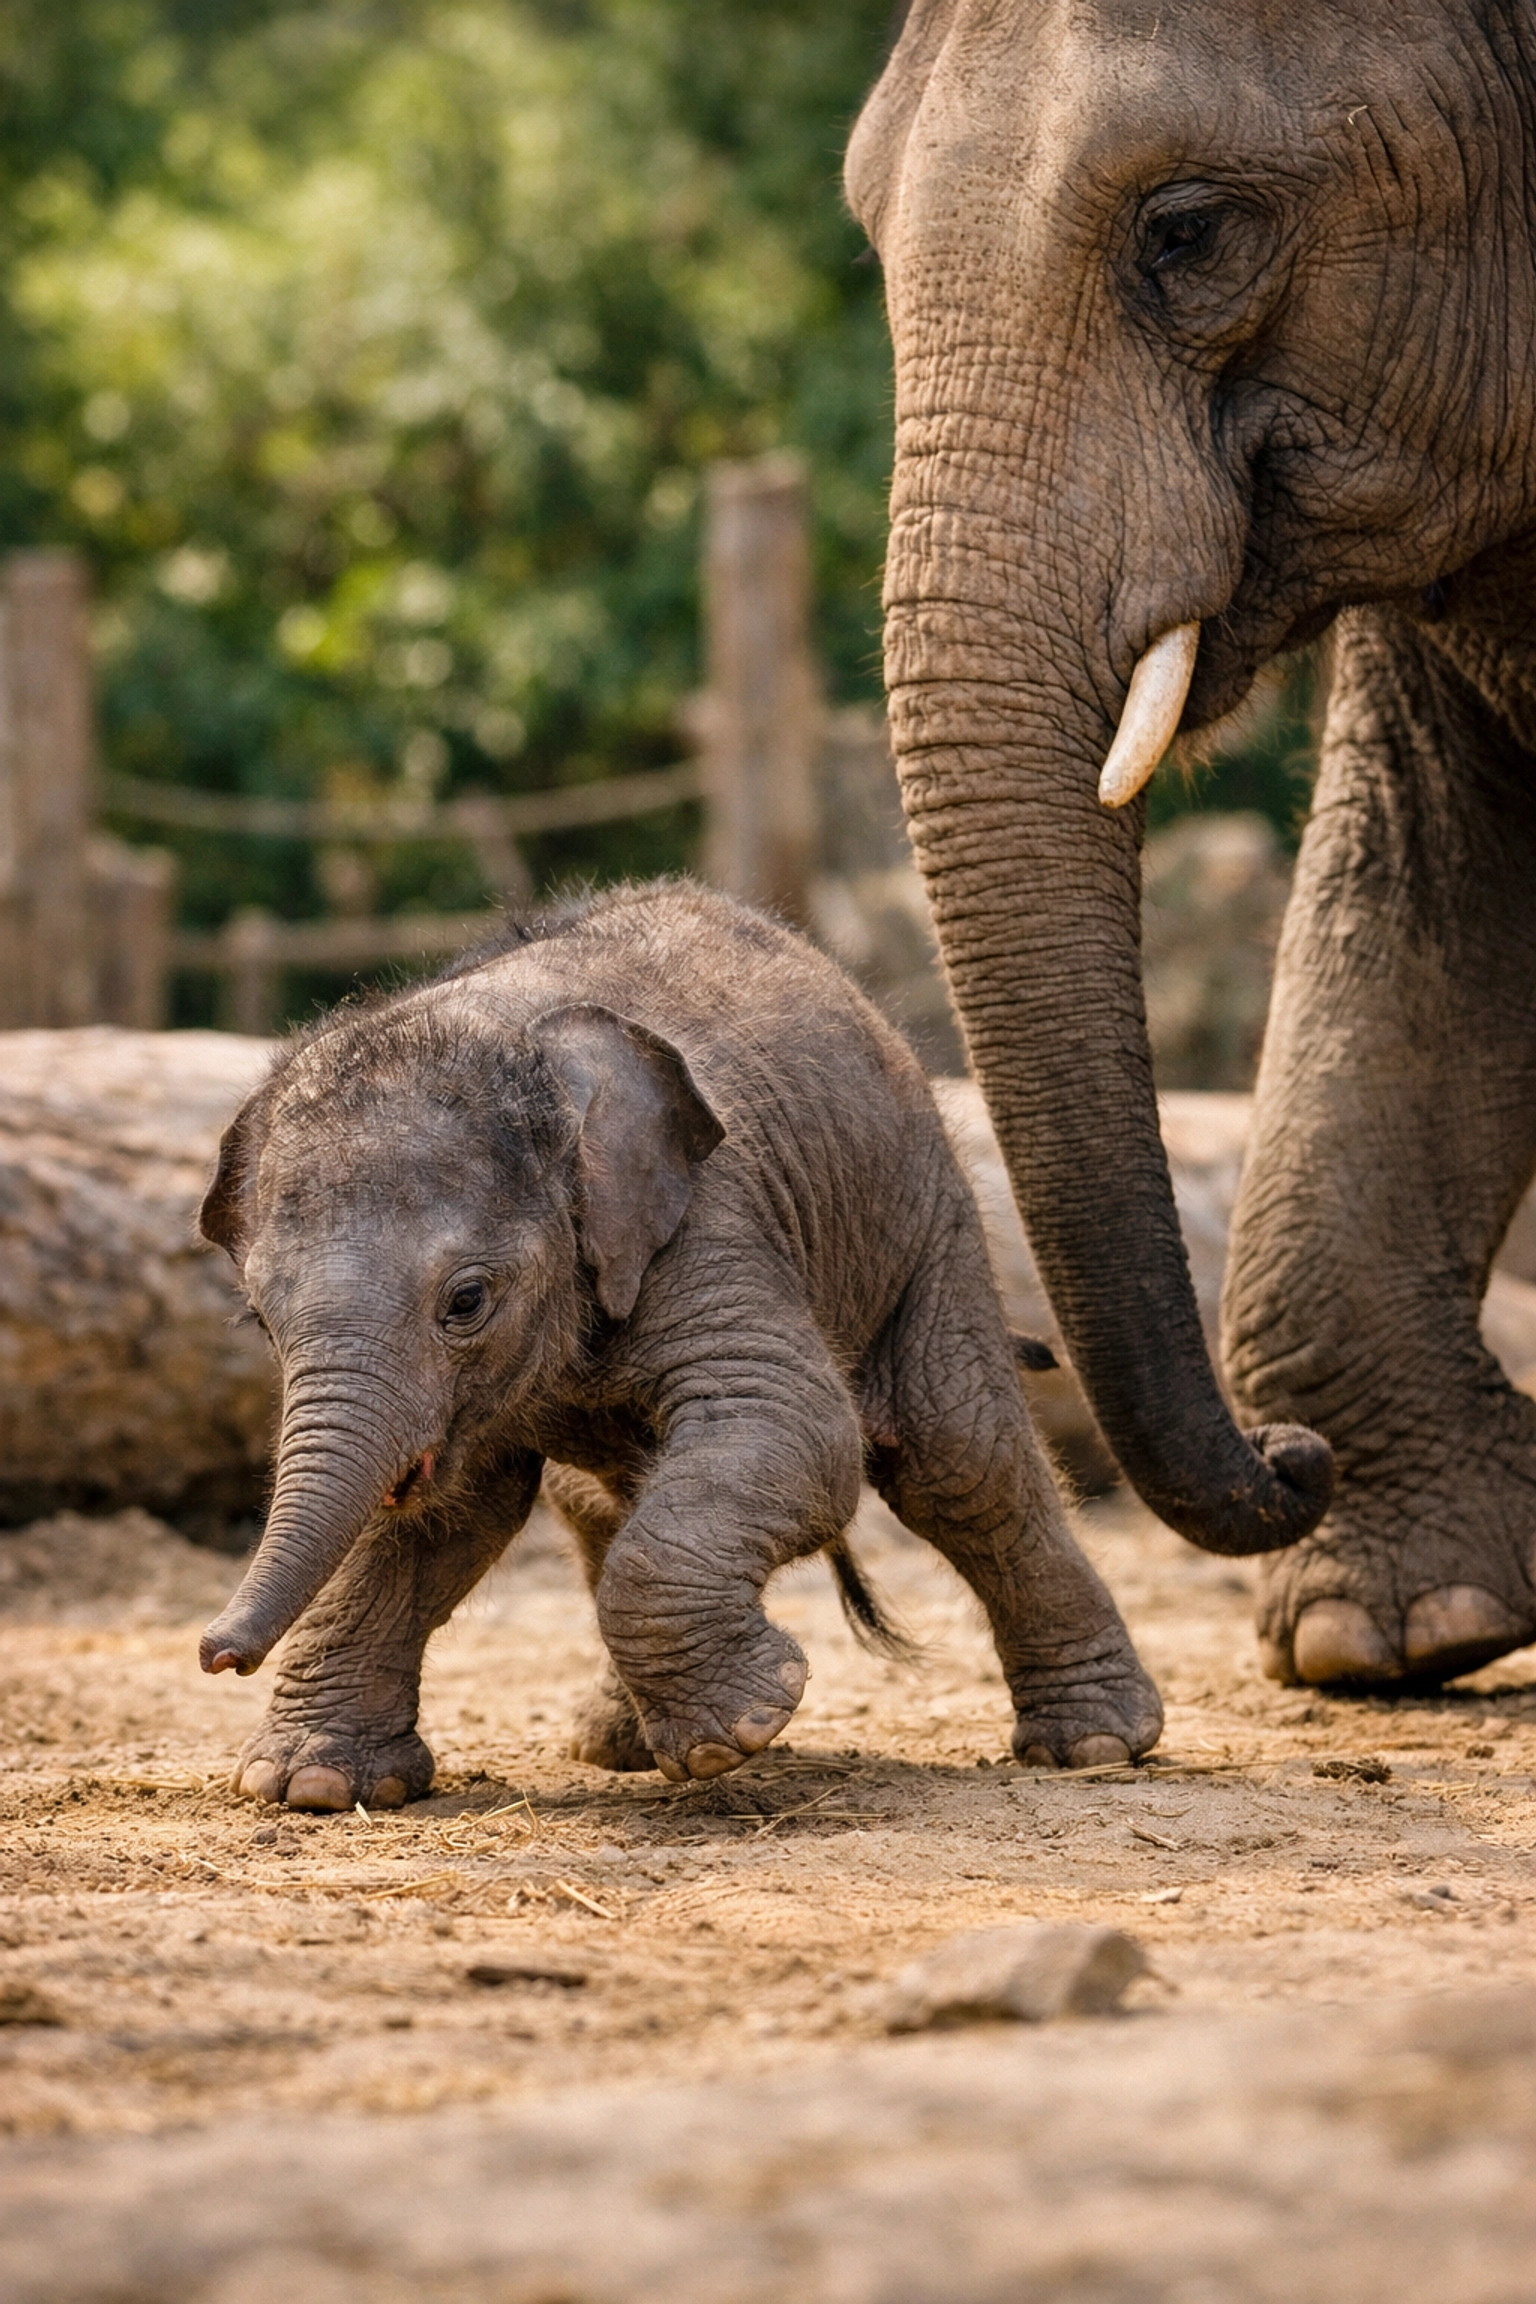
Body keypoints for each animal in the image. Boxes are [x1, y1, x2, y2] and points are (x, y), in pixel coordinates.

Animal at [195, 883, 1160, 1810]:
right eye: (260, 1322)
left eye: (465, 1302)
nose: (213, 1654)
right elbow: (445, 1513)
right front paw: (310, 1787)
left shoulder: (709, 1212)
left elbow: (799, 1422)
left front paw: (740, 1729)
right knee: (598, 1500)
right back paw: (614, 1745)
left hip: (922, 1214)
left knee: (957, 1457)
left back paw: (1094, 1747)